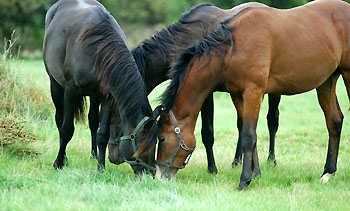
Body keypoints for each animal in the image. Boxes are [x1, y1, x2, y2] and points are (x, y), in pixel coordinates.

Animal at [43, 0, 158, 174]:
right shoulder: (71, 91)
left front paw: (101, 168)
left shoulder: (107, 97)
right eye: (142, 144)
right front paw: (58, 163)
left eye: (156, 143)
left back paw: (93, 155)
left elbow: (102, 134)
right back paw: (64, 158)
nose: (150, 173)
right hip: (55, 85)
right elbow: (67, 129)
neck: (97, 48)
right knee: (59, 119)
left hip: (94, 95)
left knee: (92, 121)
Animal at [104, 1, 268, 173]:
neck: (188, 38)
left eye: (117, 115)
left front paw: (212, 169)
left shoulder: (206, 93)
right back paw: (237, 161)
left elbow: (207, 133)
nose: (113, 157)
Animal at [152, 0, 350, 190]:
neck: (232, 49)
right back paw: (327, 173)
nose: (159, 176)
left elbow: (247, 136)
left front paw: (244, 180)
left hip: (346, 75)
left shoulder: (253, 93)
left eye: (161, 138)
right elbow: (249, 133)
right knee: (334, 120)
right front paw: (256, 174)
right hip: (326, 82)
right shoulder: (240, 96)